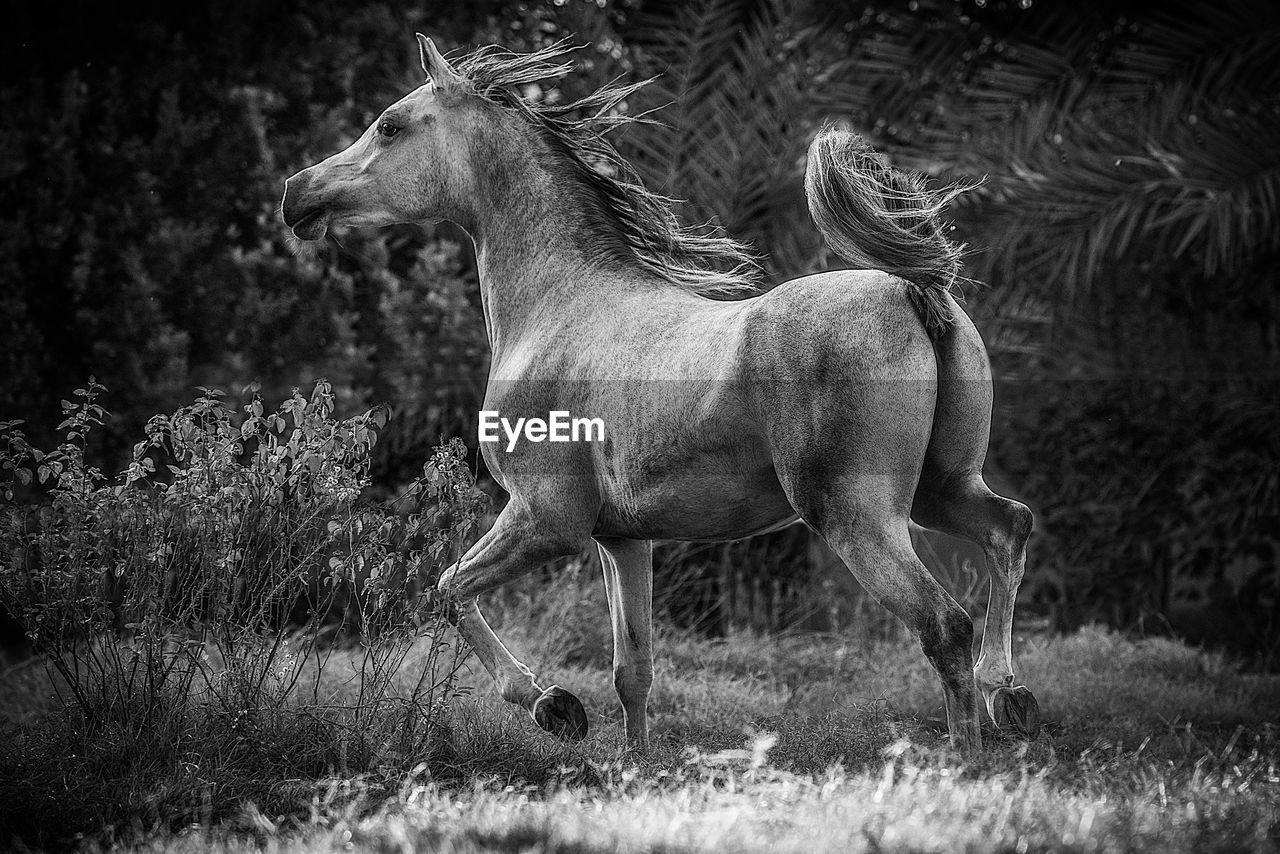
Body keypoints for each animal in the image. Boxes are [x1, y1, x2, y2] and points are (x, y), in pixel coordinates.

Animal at [282, 35, 1039, 752]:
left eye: (389, 125)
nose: (295, 192)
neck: (559, 305)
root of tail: (914, 293)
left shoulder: (546, 520)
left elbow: (449, 589)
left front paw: (553, 706)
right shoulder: (624, 540)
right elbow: (633, 671)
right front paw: (632, 762)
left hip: (857, 516)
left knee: (945, 623)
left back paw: (966, 754)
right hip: (940, 490)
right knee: (1008, 528)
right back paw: (1008, 696)